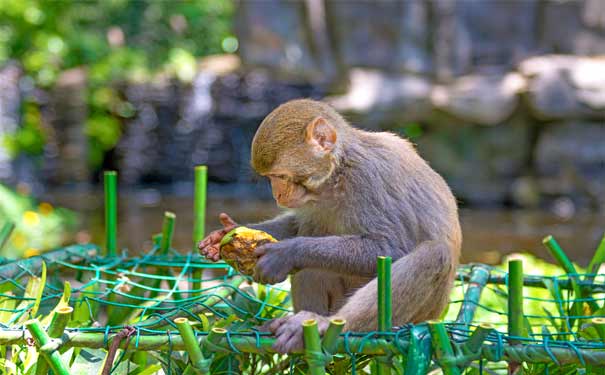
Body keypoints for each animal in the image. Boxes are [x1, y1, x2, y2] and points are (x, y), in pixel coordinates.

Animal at [197, 98, 458, 354]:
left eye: (280, 176)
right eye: (270, 177)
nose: (277, 195)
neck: (338, 175)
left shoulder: (369, 179)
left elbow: (391, 247)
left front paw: (286, 253)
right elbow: (297, 225)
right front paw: (225, 235)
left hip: (421, 315)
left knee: (434, 255)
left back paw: (327, 324)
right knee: (312, 261)